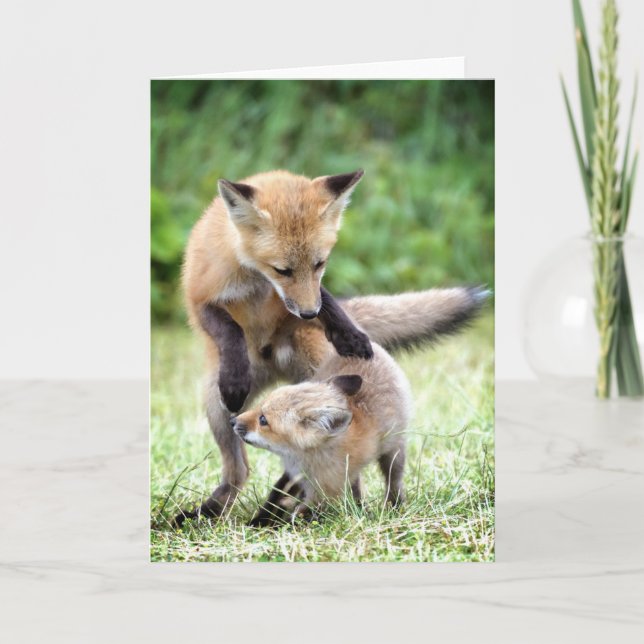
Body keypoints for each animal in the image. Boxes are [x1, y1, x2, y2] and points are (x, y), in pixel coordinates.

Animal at [232, 342, 412, 526]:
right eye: (258, 406)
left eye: (263, 420)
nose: (233, 421)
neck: (305, 459)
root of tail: (374, 347)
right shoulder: (294, 476)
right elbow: (276, 496)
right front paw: (260, 521)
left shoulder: (325, 491)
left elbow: (301, 514)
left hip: (394, 452)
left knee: (393, 479)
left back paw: (394, 504)